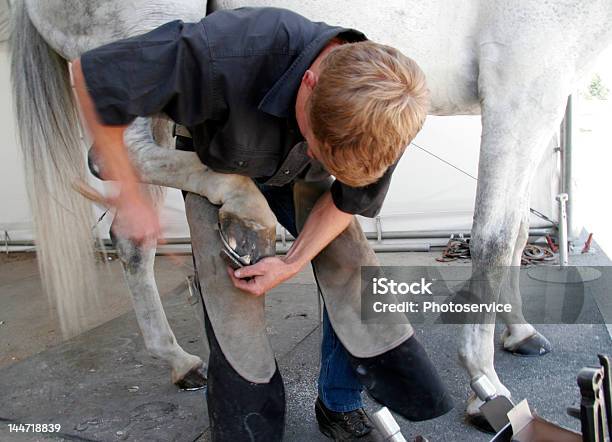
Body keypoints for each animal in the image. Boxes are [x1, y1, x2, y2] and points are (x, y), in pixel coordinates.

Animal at [10, 0, 612, 424]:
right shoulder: (524, 86)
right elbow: (493, 237)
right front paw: (484, 384)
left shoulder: (538, 95)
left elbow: (516, 235)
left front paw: (520, 331)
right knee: (116, 161)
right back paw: (242, 206)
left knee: (131, 236)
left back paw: (180, 360)